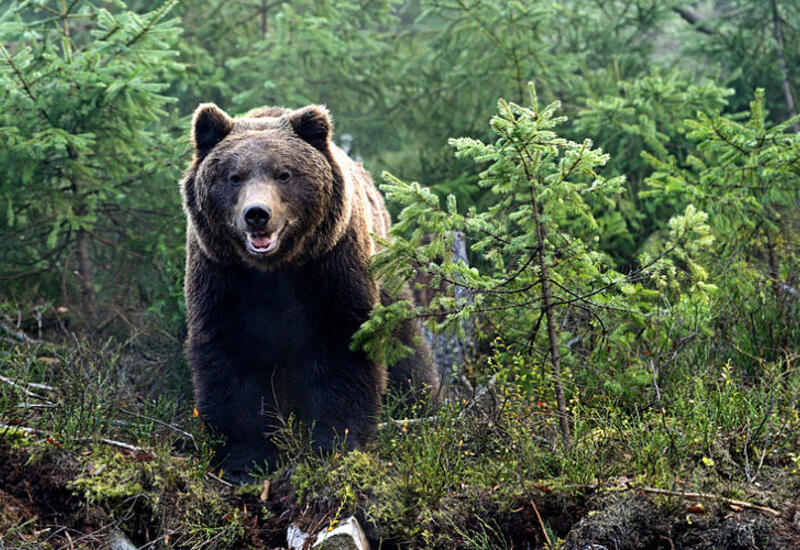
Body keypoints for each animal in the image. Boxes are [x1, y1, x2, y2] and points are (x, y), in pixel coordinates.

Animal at [181, 103, 438, 484]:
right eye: (234, 176)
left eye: (283, 174)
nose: (257, 214)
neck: (274, 269)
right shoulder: (222, 278)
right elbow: (232, 362)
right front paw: (246, 461)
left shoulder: (330, 268)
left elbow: (343, 348)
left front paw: (333, 445)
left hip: (385, 273)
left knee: (406, 346)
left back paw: (422, 404)